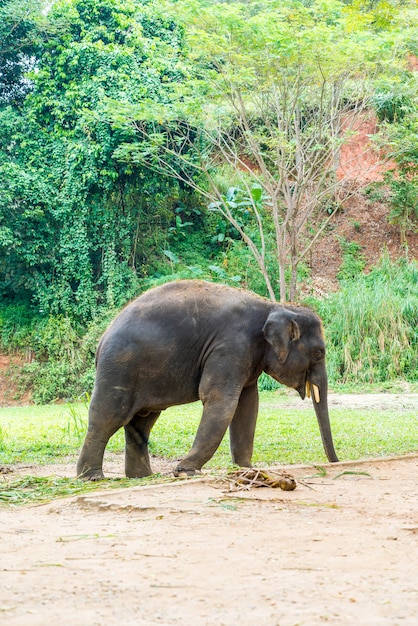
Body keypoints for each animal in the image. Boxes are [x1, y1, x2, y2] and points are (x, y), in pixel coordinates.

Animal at [76, 278, 340, 478]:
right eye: (319, 353)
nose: (335, 463)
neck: (273, 306)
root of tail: (102, 338)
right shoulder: (230, 345)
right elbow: (219, 399)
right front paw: (184, 470)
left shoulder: (247, 355)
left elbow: (248, 405)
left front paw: (247, 468)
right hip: (119, 367)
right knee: (109, 416)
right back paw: (91, 477)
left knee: (142, 422)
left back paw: (142, 477)